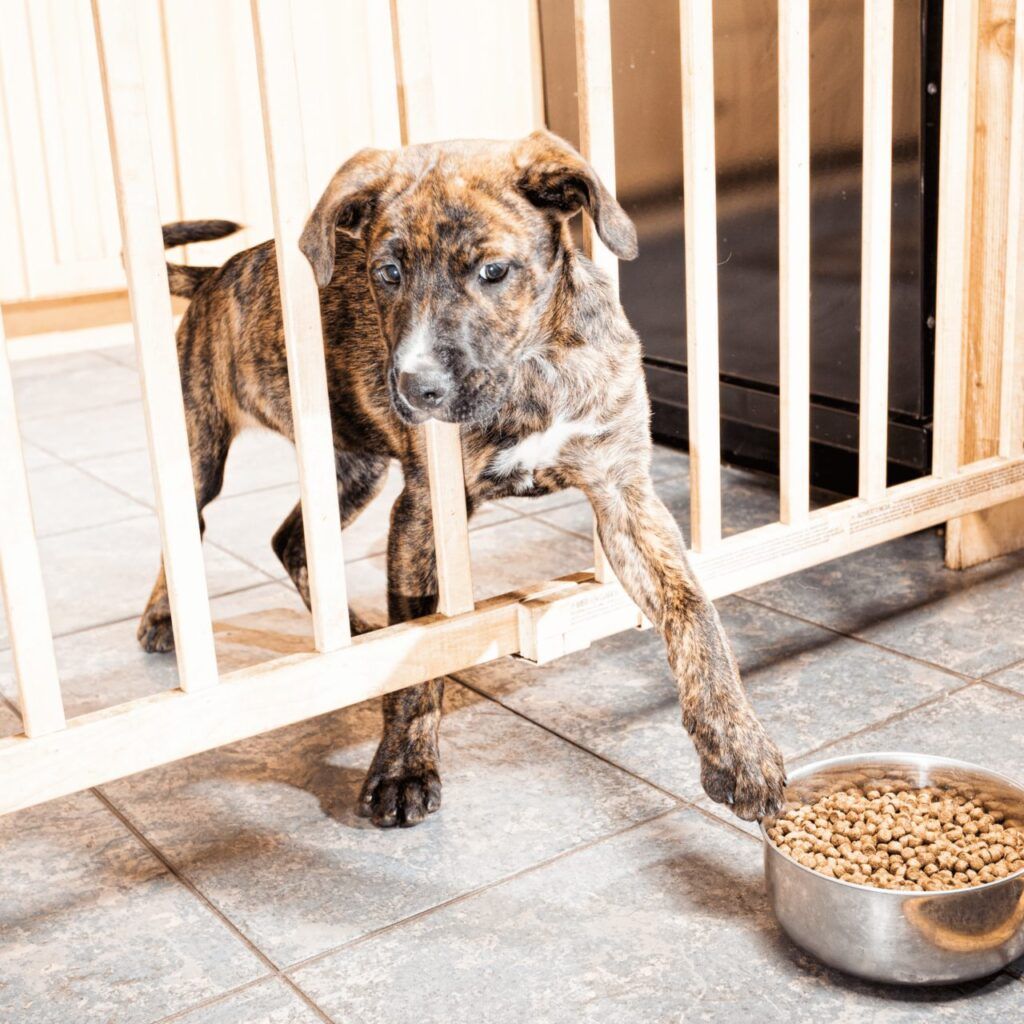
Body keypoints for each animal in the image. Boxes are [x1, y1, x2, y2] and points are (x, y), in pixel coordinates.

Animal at [144, 130, 782, 831]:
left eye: (493, 272)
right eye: (386, 273)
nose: (416, 388)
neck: (533, 367)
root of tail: (214, 275)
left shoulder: (625, 494)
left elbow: (694, 611)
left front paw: (739, 748)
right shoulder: (424, 514)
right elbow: (421, 657)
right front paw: (404, 769)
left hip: (354, 466)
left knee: (290, 540)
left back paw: (352, 631)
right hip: (198, 446)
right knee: (189, 532)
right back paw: (163, 619)